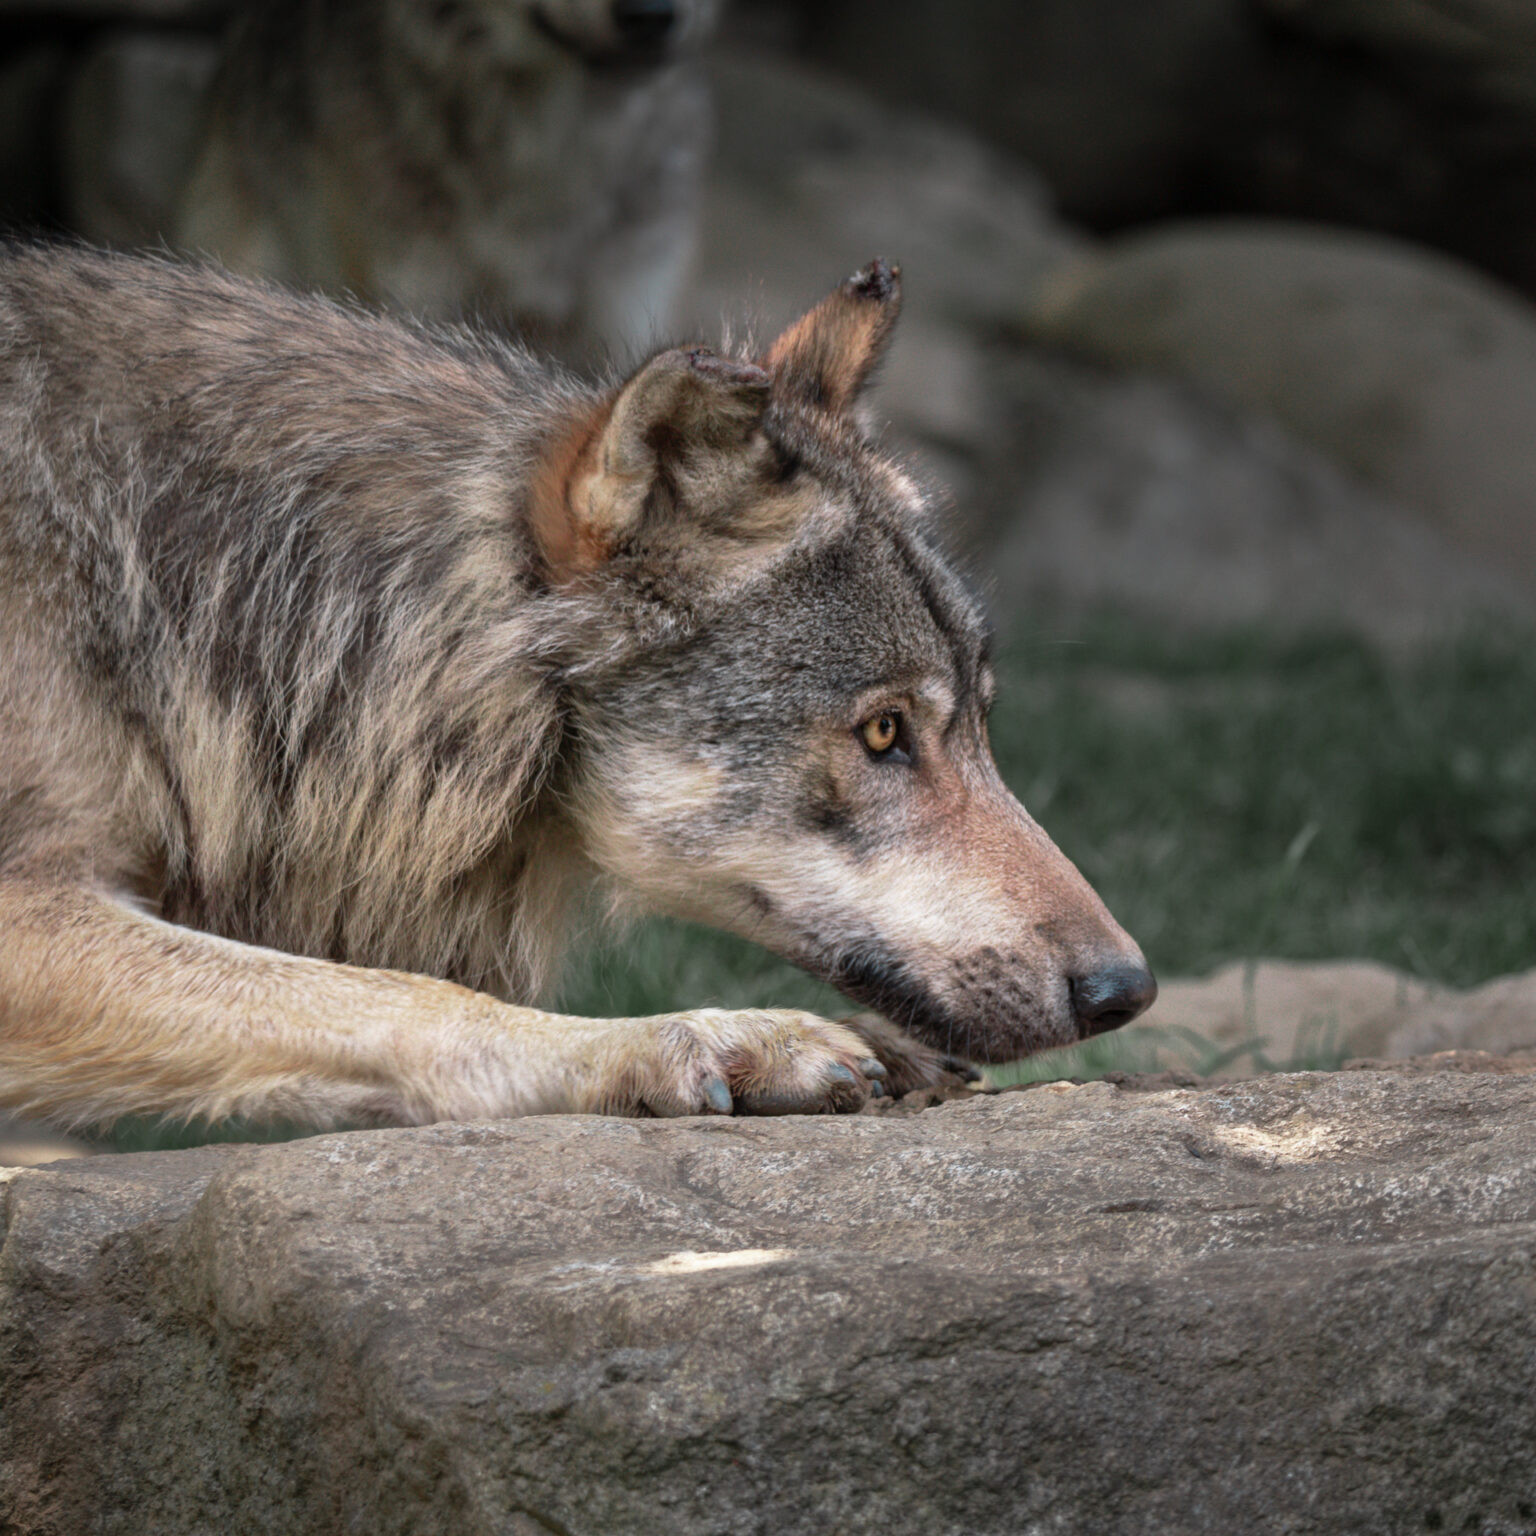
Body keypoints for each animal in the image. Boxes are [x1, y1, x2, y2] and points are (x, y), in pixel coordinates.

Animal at [0, 247, 1155, 1132]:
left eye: (980, 722)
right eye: (883, 733)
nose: (1127, 991)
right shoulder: (35, 902)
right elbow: (405, 995)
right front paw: (697, 1041)